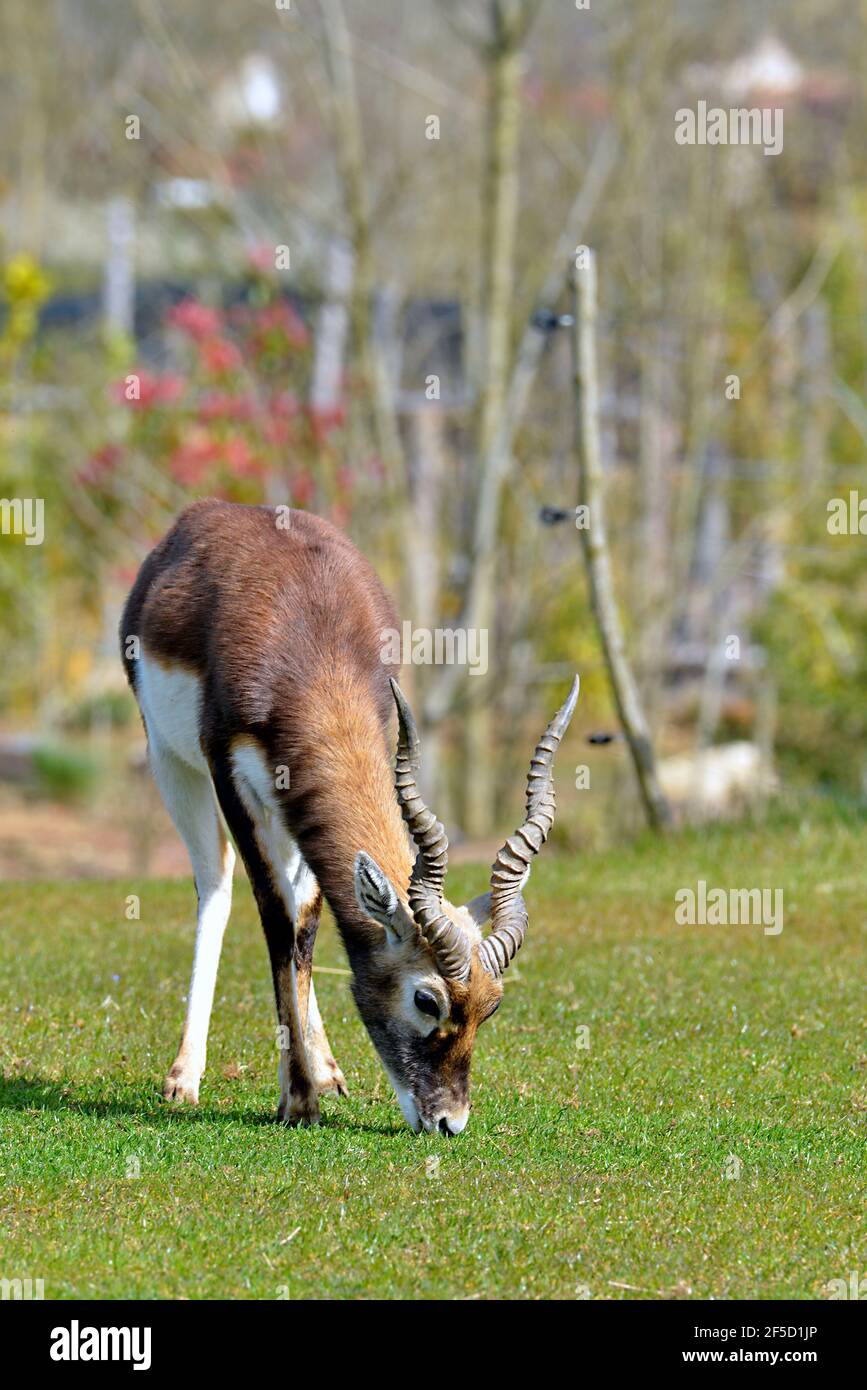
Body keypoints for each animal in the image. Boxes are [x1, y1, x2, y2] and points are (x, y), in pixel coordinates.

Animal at [116, 497, 575, 1128]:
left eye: (492, 1006)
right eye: (426, 997)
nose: (449, 1122)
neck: (316, 646)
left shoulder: (306, 795)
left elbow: (307, 921)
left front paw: (316, 1080)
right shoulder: (228, 772)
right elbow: (274, 916)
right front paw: (297, 1097)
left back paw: (327, 1071)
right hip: (170, 762)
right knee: (216, 888)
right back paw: (184, 1078)